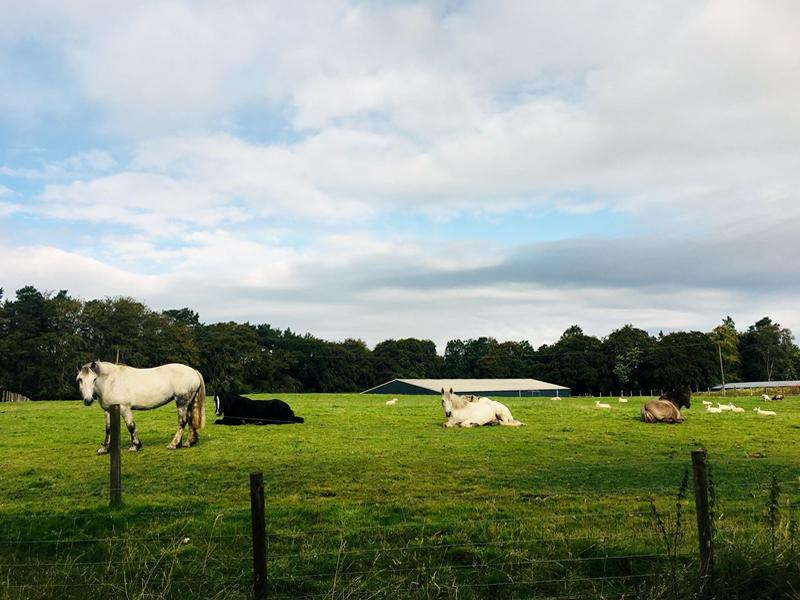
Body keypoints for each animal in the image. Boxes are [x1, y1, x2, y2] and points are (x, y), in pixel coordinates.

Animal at [77, 360, 206, 454]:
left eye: (94, 379)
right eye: (80, 379)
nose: (88, 400)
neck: (111, 382)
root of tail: (194, 371)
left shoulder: (125, 408)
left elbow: (131, 426)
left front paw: (135, 446)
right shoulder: (108, 411)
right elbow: (108, 429)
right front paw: (104, 449)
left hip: (181, 402)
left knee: (182, 421)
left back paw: (173, 444)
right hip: (188, 403)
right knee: (190, 419)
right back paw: (189, 442)